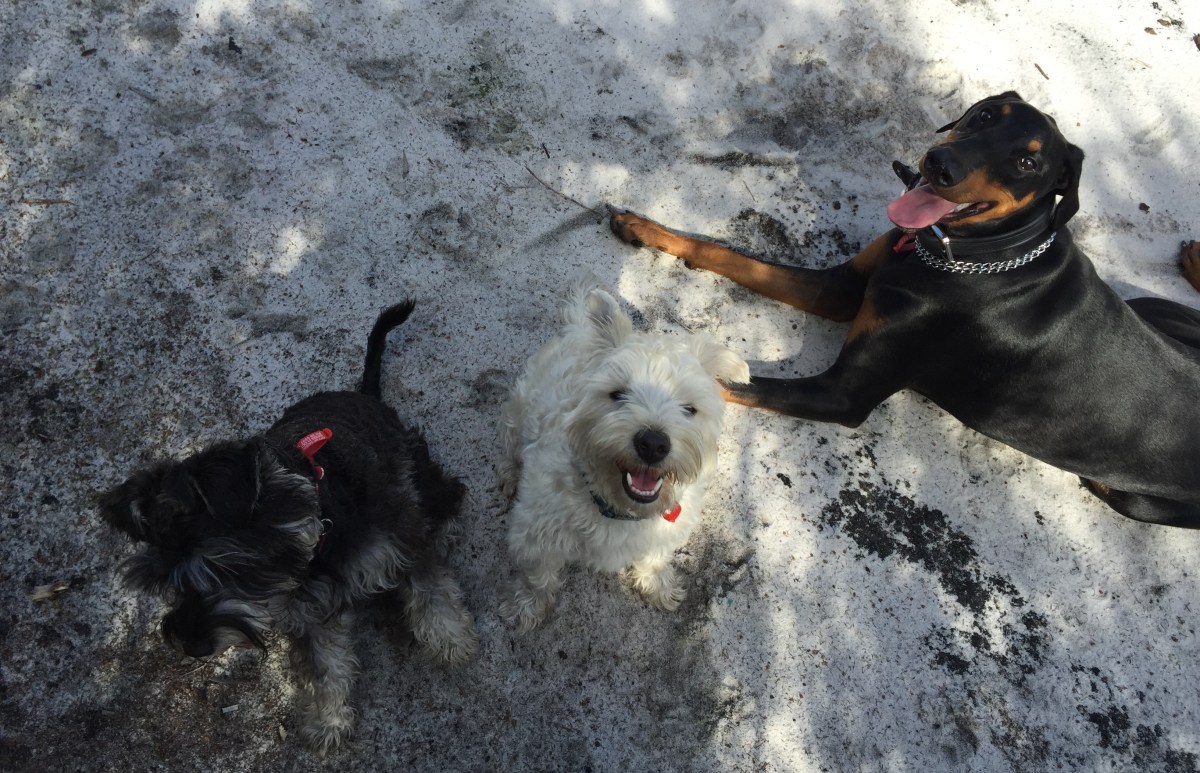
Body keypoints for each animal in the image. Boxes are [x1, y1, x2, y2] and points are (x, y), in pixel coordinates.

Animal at [100, 302, 478, 754]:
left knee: (445, 495)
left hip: (414, 466)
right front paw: (328, 721)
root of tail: (363, 395)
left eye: (223, 567)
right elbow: (324, 667)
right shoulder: (306, 613)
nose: (193, 647)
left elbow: (430, 590)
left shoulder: (400, 543)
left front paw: (451, 640)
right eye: (162, 584)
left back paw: (447, 525)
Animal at [496, 279, 749, 632]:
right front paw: (526, 606)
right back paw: (509, 475)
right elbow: (538, 575)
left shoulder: (666, 530)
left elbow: (654, 558)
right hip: (518, 411)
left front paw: (657, 586)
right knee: (511, 447)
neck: (620, 510)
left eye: (689, 408)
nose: (653, 444)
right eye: (617, 394)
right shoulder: (536, 531)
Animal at [611, 91, 1200, 528]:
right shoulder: (843, 290)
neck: (974, 256)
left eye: (1028, 161)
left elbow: (730, 388)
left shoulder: (843, 396)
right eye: (986, 115)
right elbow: (730, 255)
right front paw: (645, 228)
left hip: (1132, 496)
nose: (939, 165)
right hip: (1154, 305)